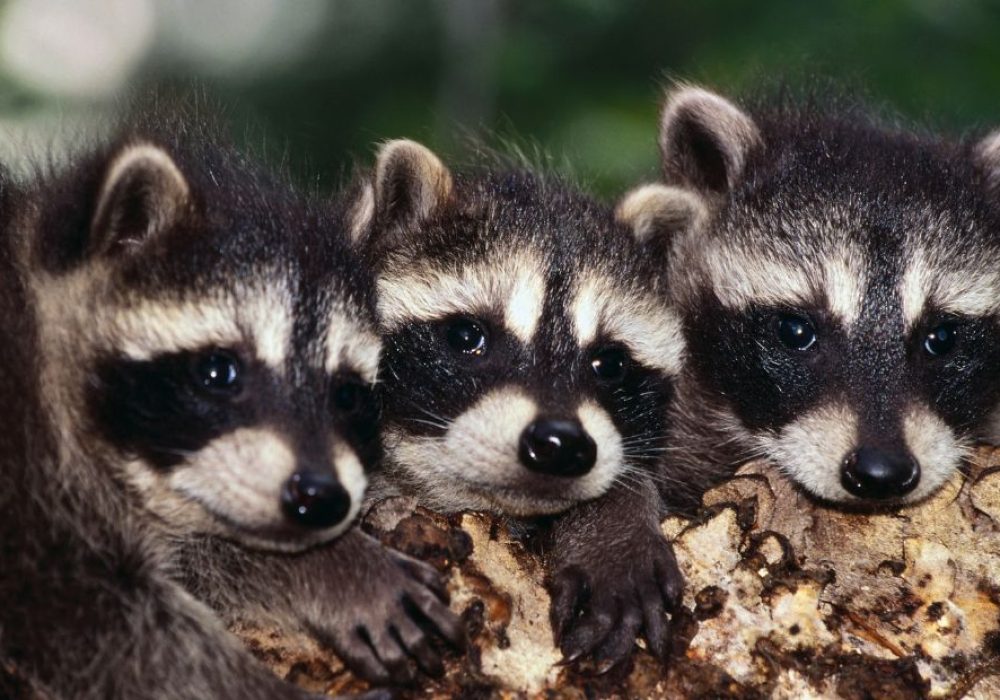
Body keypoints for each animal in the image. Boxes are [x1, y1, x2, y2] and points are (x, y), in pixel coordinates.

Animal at [0, 119, 461, 699]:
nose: (321, 497)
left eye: (347, 394)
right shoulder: (23, 466)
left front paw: (327, 565)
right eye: (219, 372)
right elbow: (95, 621)